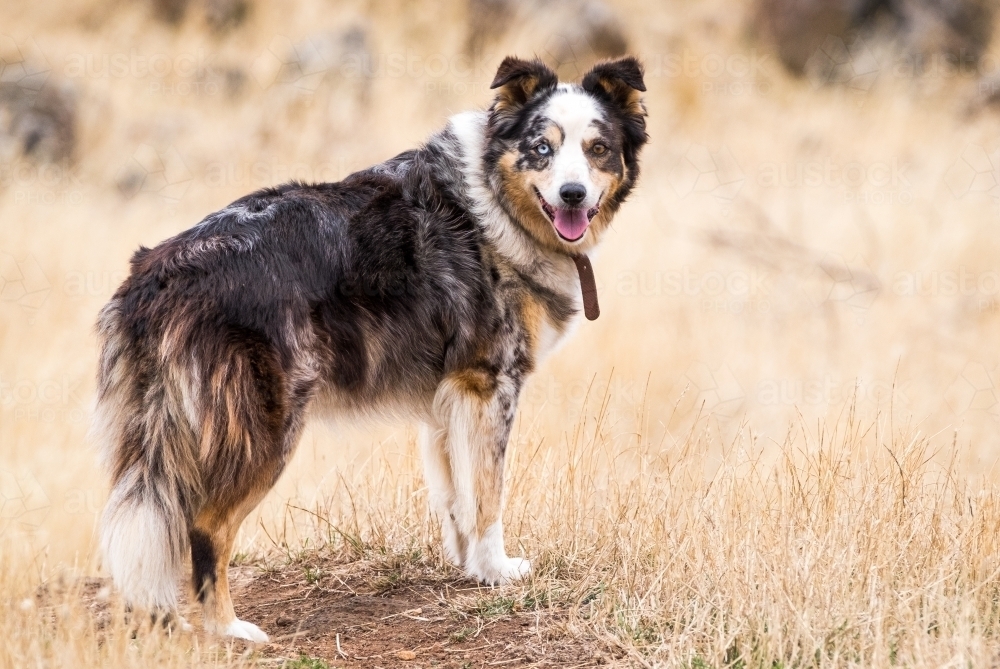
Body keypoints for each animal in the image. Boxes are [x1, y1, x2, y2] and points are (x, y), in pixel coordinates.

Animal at [95, 54, 648, 640]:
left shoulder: (450, 397)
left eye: (598, 149)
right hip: (266, 426)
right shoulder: (490, 383)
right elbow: (489, 496)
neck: (497, 202)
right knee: (205, 525)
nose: (573, 195)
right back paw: (230, 629)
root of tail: (159, 273)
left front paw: (472, 568)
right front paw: (498, 570)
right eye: (541, 148)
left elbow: (457, 497)